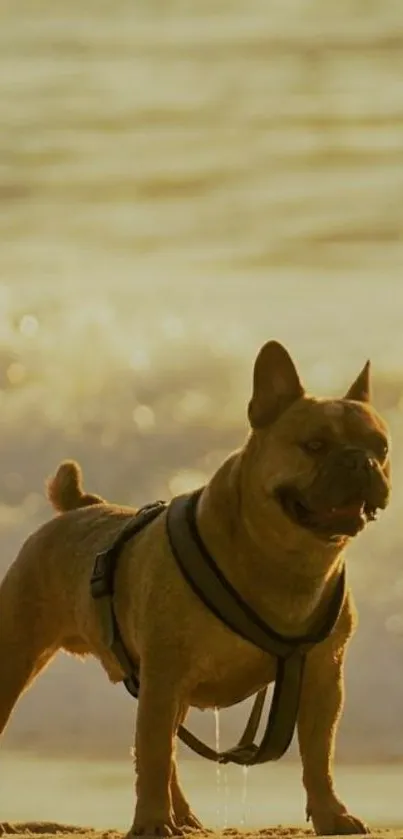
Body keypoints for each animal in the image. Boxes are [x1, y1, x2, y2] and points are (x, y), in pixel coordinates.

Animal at [0, 344, 392, 836]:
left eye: (382, 447)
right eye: (315, 446)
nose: (362, 460)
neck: (286, 561)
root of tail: (76, 508)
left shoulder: (323, 677)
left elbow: (319, 755)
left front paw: (330, 814)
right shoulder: (164, 676)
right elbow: (152, 753)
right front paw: (151, 821)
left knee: (167, 750)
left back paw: (184, 816)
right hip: (18, 654)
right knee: (156, 747)